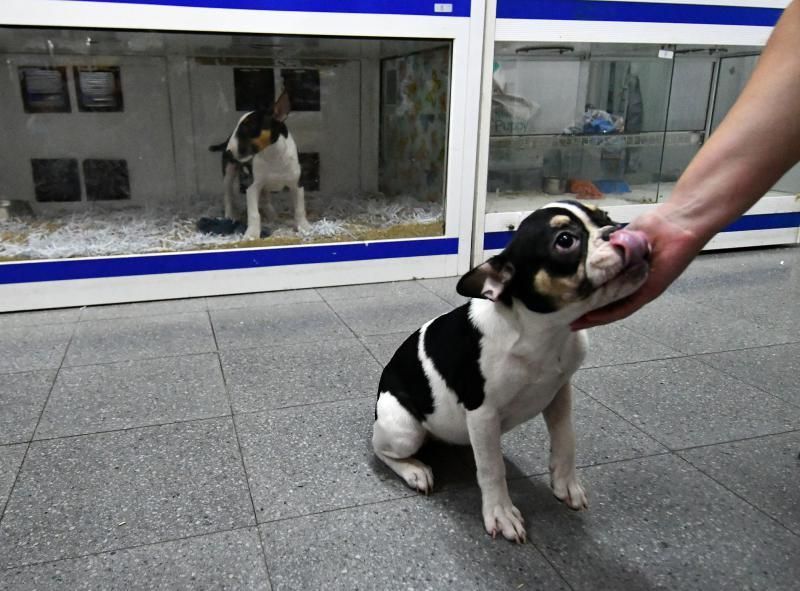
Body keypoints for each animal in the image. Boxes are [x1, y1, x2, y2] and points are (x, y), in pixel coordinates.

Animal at [209, 91, 310, 239]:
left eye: (248, 128)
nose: (228, 152)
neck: (273, 156)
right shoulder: (252, 187)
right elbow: (254, 214)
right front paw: (251, 234)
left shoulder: (297, 184)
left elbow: (300, 209)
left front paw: (304, 227)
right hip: (229, 173)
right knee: (228, 195)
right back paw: (230, 215)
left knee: (265, 200)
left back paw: (273, 216)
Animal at [374, 201, 648, 544]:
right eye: (565, 240)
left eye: (606, 217)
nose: (620, 230)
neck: (543, 333)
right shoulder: (483, 413)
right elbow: (492, 470)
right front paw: (500, 513)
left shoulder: (559, 392)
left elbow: (566, 439)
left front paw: (566, 483)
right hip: (404, 431)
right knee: (382, 450)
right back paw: (414, 470)